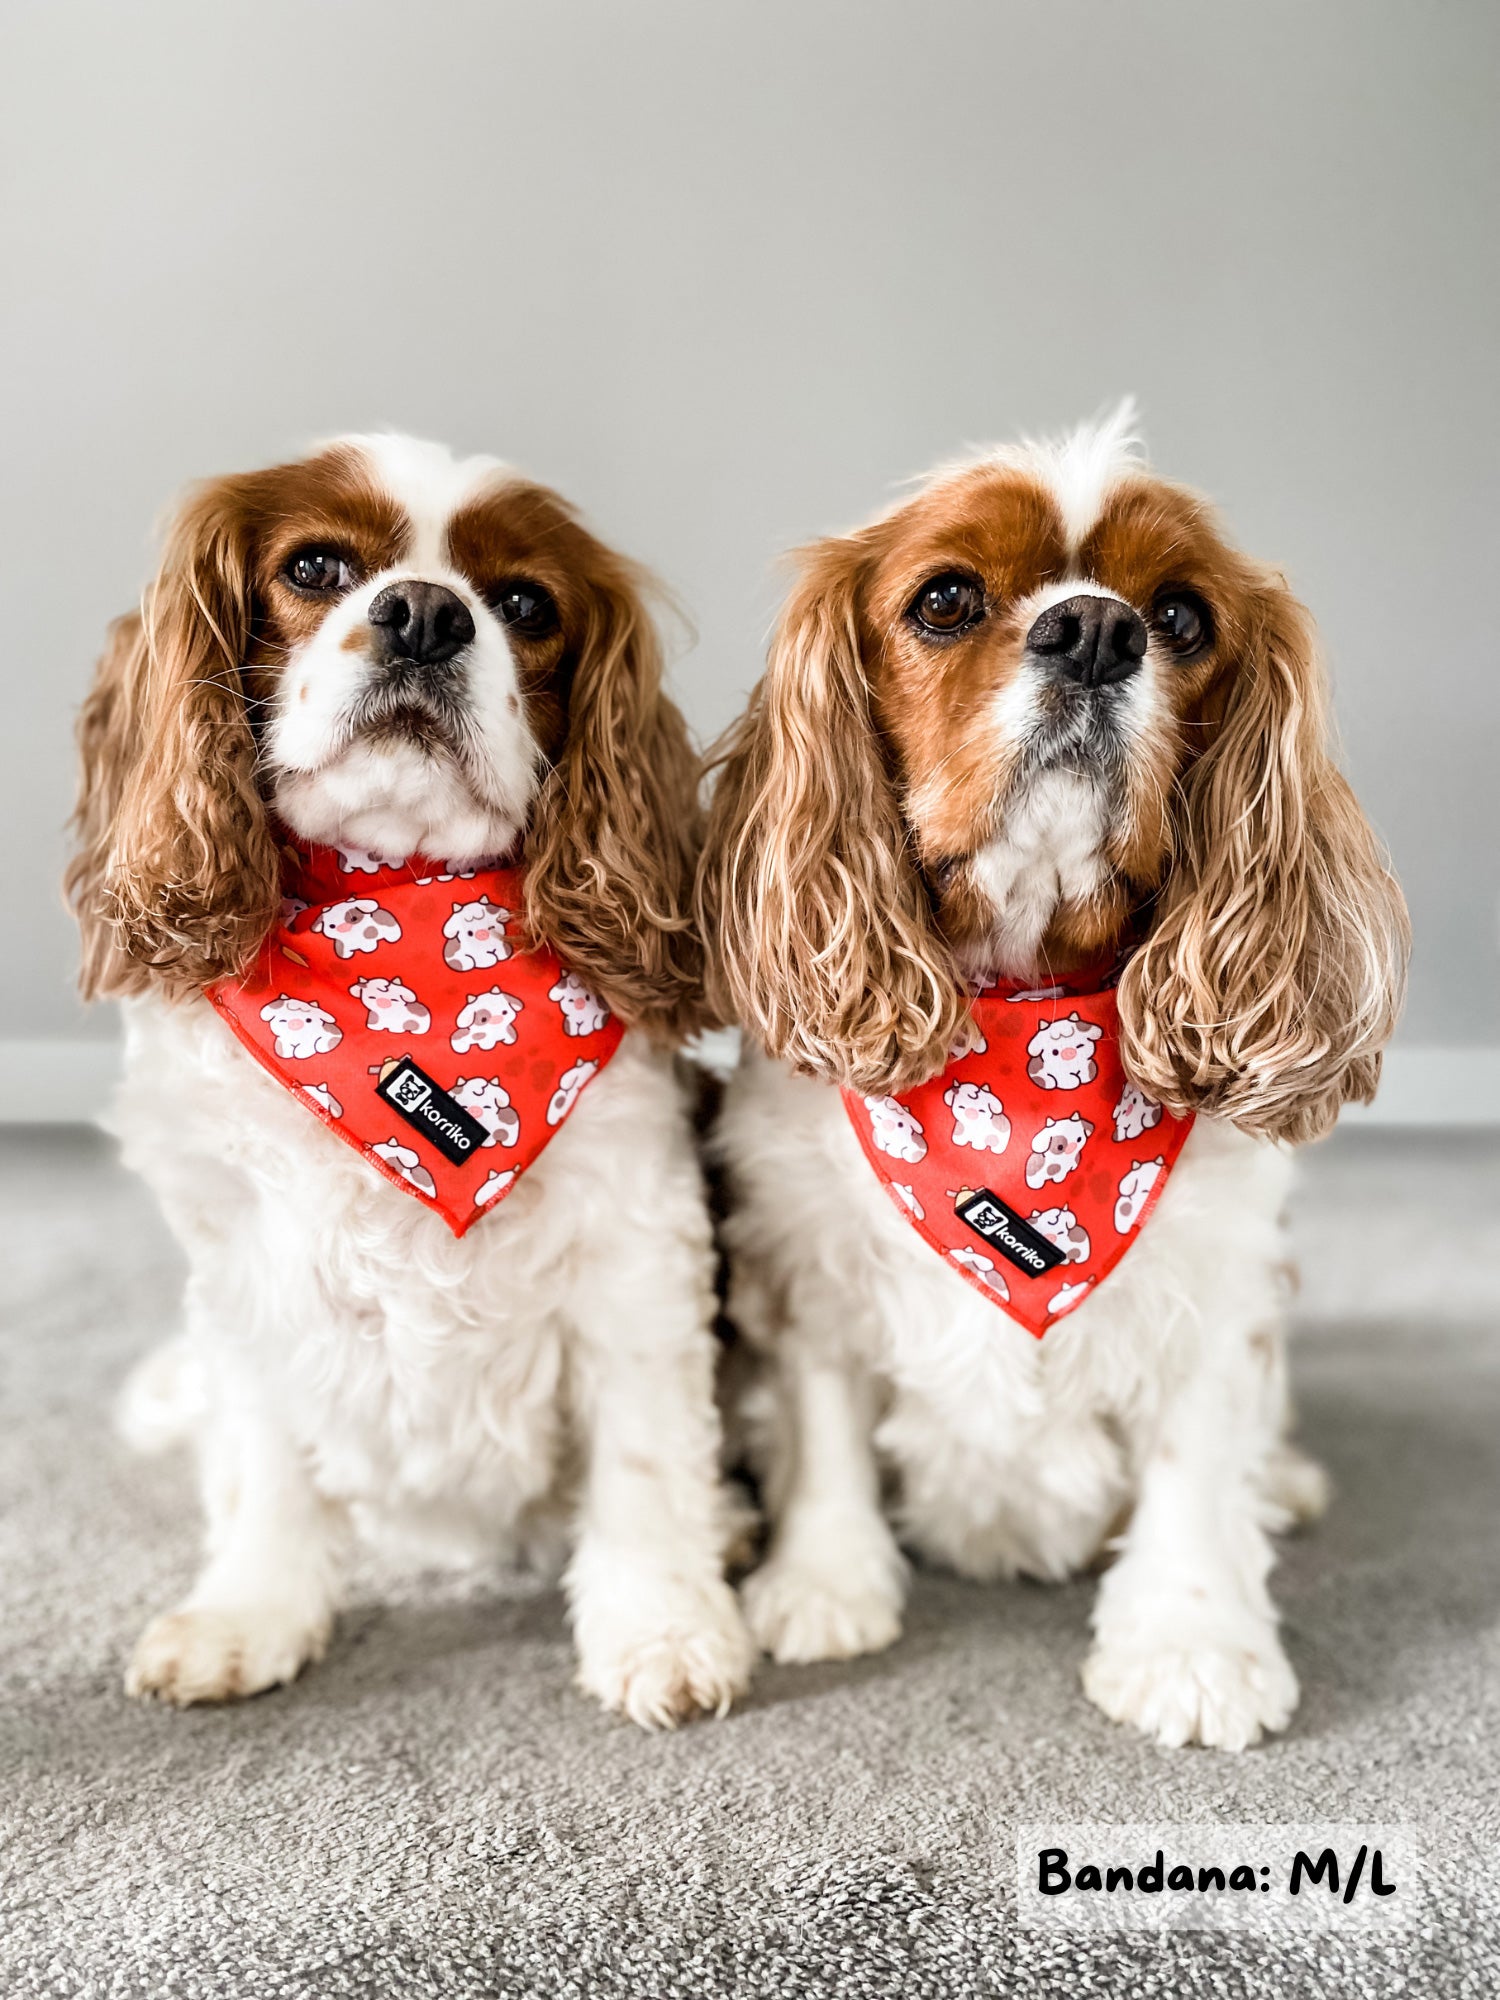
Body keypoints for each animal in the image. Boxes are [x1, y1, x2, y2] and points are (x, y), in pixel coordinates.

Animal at [67, 430, 752, 1728]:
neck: (403, 908)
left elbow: (645, 1458)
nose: (427, 613)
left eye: (525, 603)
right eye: (315, 566)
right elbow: (270, 1463)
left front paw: (663, 1624)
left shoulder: (635, 1249)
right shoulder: (250, 1269)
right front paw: (252, 1610)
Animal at [704, 406, 1408, 1752]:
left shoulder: (1216, 1281)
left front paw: (1193, 1643)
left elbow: (1197, 1455)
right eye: (944, 599)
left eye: (1180, 616)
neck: (1023, 1031)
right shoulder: (806, 1259)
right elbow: (823, 1418)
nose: (1094, 629)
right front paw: (823, 1583)